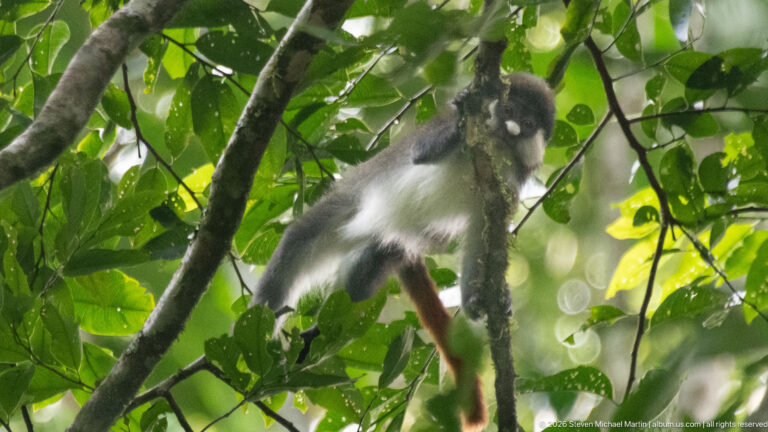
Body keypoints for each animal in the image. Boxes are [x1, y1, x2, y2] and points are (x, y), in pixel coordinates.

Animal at [251, 73, 555, 429]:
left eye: (528, 122)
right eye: (509, 109)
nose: (513, 128)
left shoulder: (504, 188)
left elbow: (481, 237)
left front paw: (479, 299)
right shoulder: (440, 132)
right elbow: (421, 153)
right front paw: (467, 103)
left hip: (384, 245)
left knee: (359, 284)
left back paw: (313, 339)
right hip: (347, 206)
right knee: (297, 241)